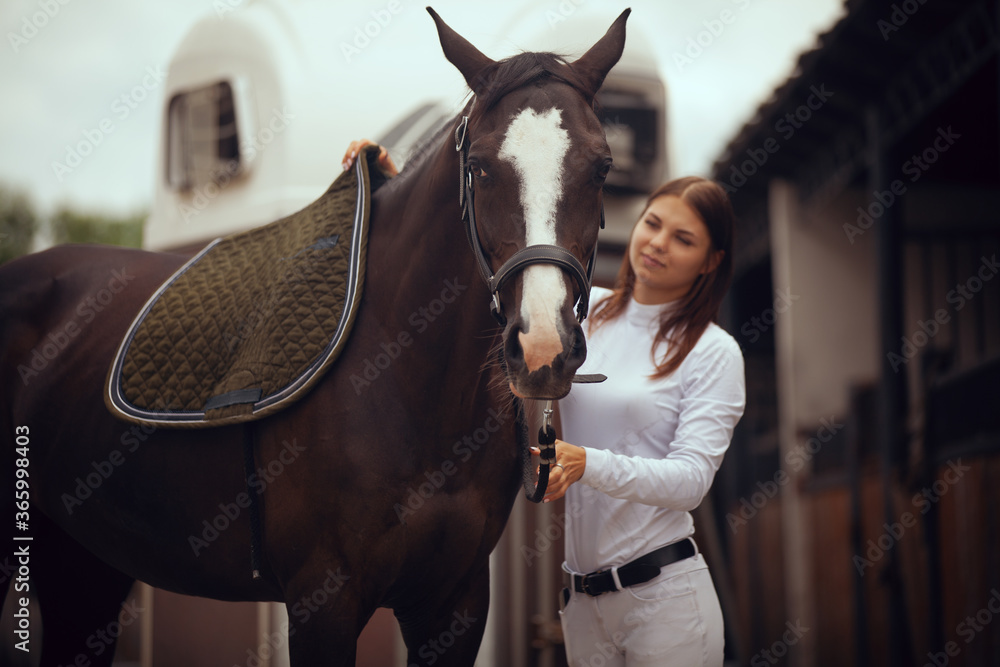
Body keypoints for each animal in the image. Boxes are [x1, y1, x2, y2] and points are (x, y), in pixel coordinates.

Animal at [0, 7, 624, 664]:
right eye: (480, 166)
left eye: (602, 168)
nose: (542, 348)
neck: (410, 386)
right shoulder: (322, 603)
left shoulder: (454, 606)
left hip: (84, 563)